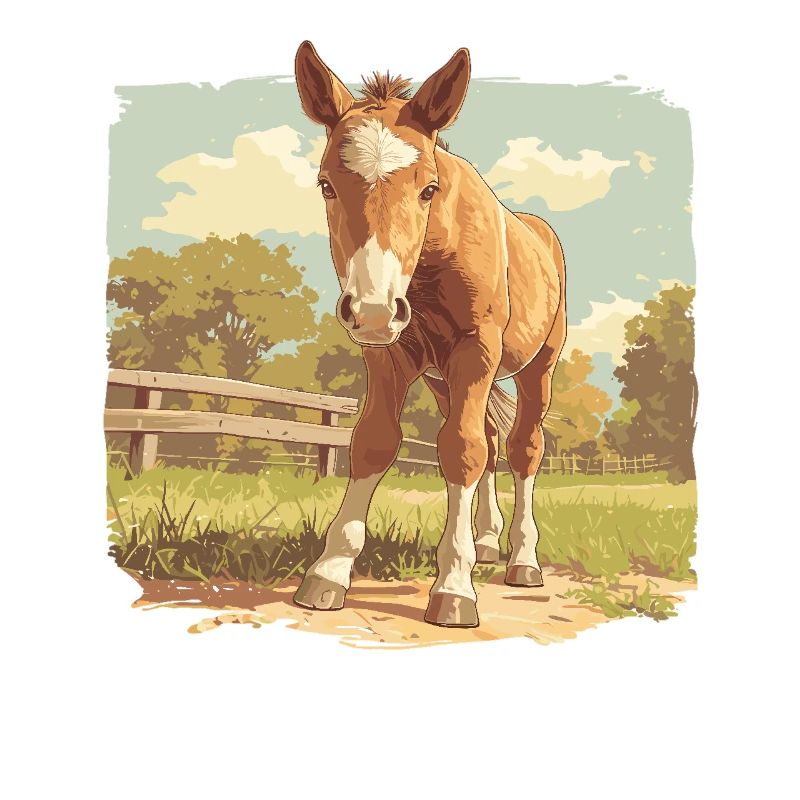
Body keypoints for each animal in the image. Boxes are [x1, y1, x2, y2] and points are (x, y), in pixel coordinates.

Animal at [292, 41, 567, 627]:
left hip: (537, 367)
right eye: (326, 185)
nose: (373, 308)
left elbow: (461, 450)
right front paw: (328, 574)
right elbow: (374, 442)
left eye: (428, 189)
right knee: (490, 439)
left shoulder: (477, 349)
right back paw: (486, 542)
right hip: (444, 378)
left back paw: (522, 561)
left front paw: (455, 588)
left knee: (522, 447)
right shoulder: (389, 355)